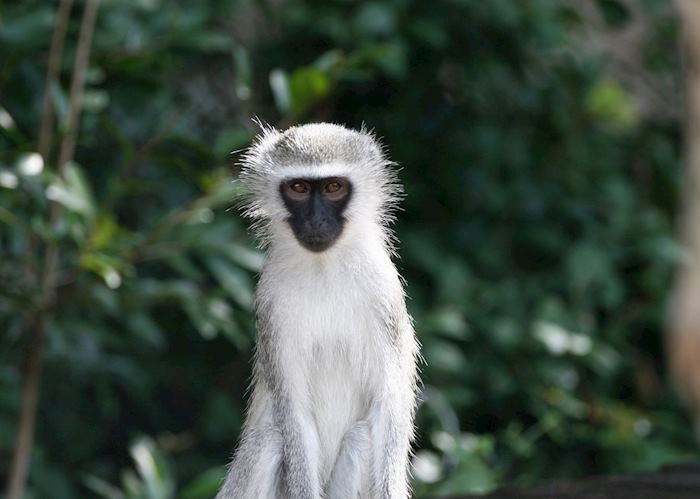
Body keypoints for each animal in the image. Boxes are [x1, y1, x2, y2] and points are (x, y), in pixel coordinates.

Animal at [216, 123, 420, 499]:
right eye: (298, 188)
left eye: (333, 187)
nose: (316, 221)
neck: (324, 267)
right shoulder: (271, 304)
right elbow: (294, 414)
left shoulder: (382, 292)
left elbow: (387, 406)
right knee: (269, 439)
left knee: (362, 437)